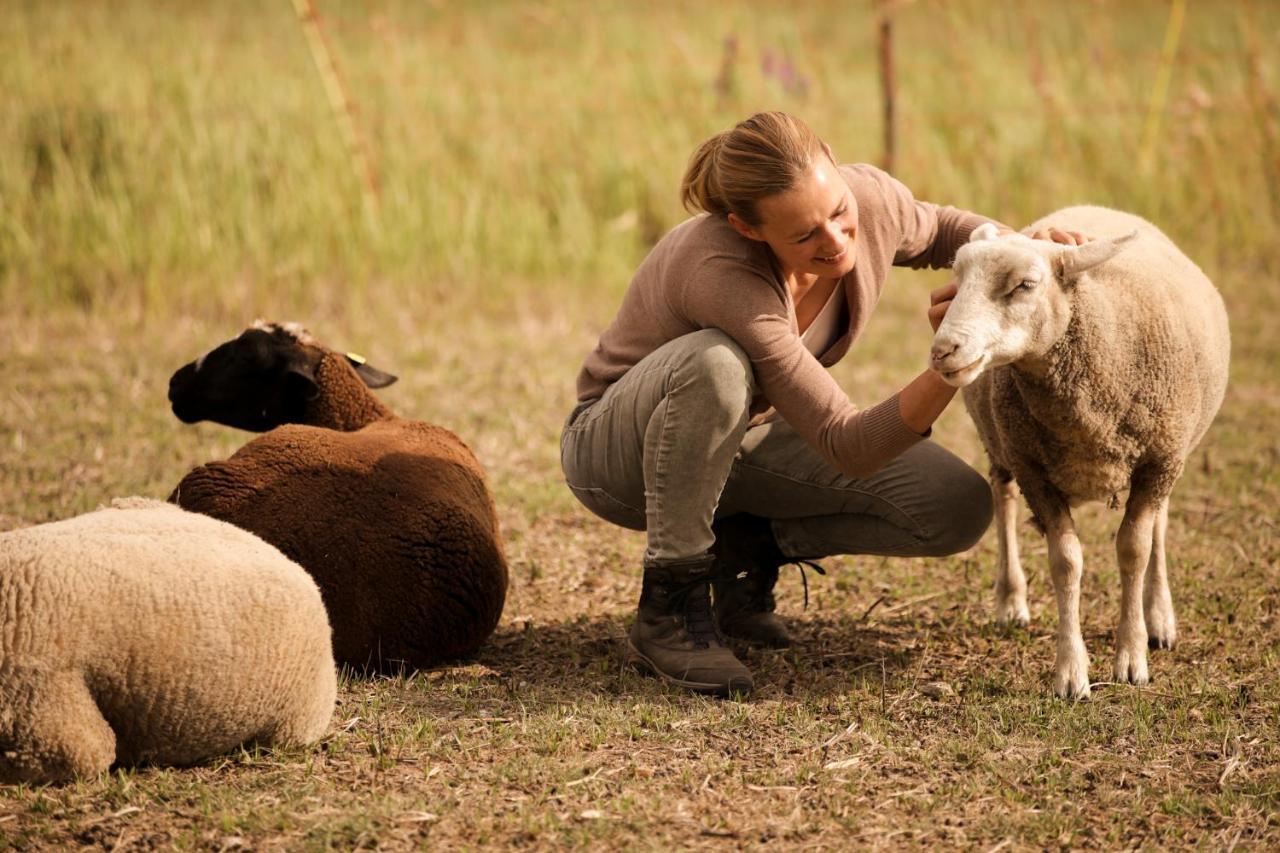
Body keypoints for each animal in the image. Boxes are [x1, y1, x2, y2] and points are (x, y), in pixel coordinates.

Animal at [931, 206, 1228, 696]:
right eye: (958, 277)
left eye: (1025, 285)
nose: (942, 350)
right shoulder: (1033, 469)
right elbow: (1066, 562)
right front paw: (1071, 673)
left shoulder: (1159, 459)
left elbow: (1134, 549)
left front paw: (1132, 657)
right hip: (1000, 443)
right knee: (1003, 497)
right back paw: (1011, 600)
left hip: (1170, 451)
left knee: (1160, 525)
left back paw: (1159, 616)